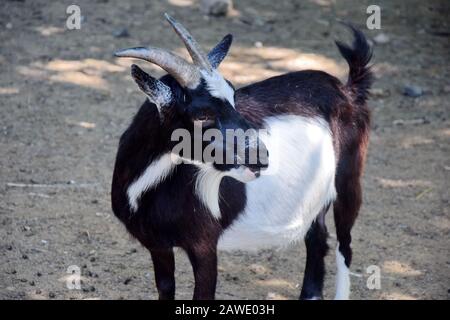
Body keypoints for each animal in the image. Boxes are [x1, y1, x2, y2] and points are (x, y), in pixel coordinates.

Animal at [110, 14, 370, 300]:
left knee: (344, 244)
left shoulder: (204, 245)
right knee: (317, 237)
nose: (261, 158)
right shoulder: (158, 246)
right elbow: (166, 288)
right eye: (202, 115)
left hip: (349, 178)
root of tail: (346, 89)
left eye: (234, 97)